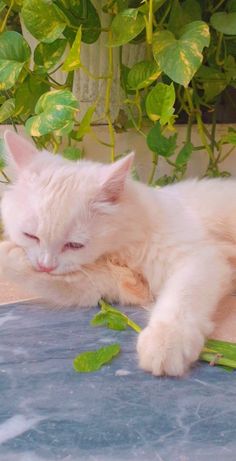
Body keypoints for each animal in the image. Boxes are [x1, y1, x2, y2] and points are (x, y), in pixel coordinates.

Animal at [0, 131, 235, 376]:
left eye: (74, 245)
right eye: (30, 236)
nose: (46, 265)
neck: (123, 243)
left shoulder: (199, 258)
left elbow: (181, 298)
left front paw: (166, 342)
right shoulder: (109, 286)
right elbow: (56, 284)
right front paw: (9, 255)